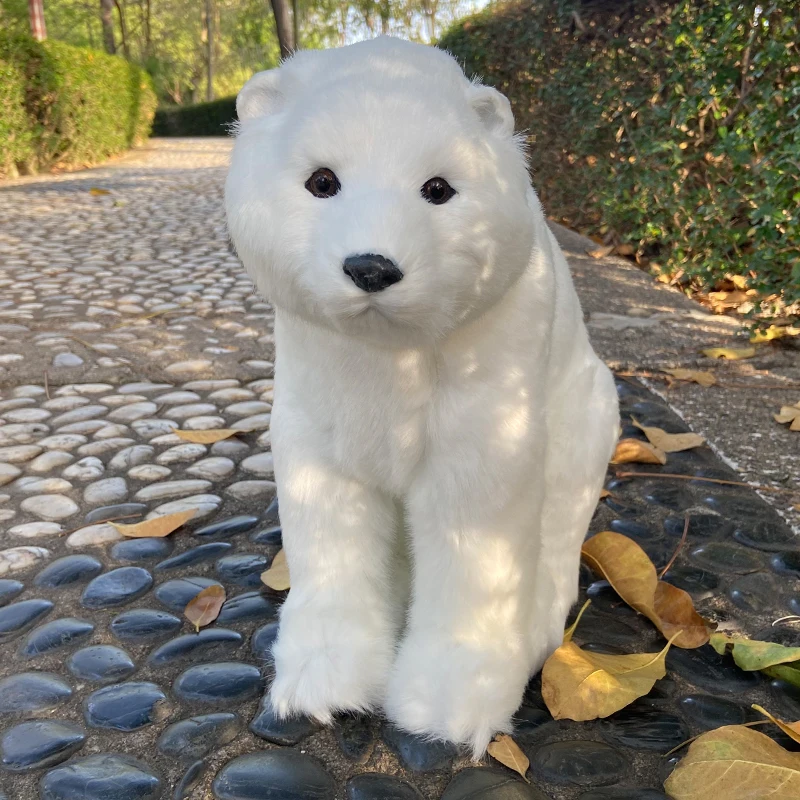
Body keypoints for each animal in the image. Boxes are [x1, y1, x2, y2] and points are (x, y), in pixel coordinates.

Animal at [225, 36, 620, 756]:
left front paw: (450, 704)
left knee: (557, 535)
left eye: (438, 189)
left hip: (586, 422)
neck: (390, 360)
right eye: (321, 181)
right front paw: (323, 682)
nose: (371, 266)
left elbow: (474, 562)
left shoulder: (485, 440)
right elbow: (331, 547)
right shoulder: (316, 433)